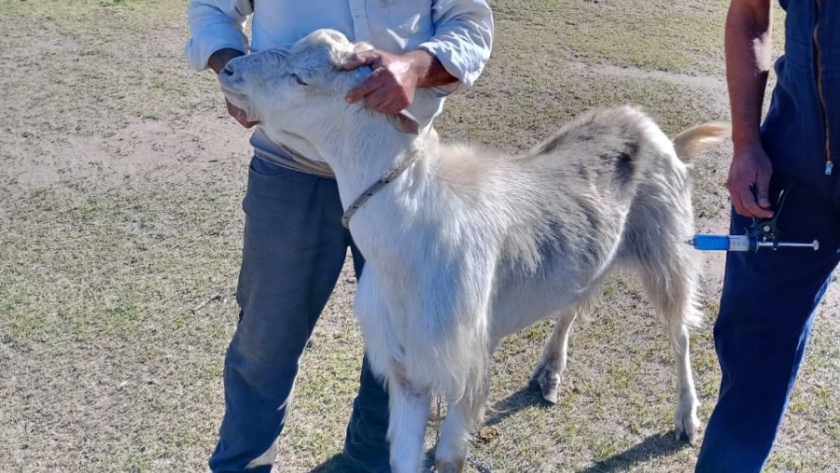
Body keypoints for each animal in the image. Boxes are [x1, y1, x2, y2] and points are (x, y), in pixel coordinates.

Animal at [218, 29, 728, 472]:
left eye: (302, 78)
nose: (229, 69)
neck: (408, 231)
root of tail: (657, 132)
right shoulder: (407, 365)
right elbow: (404, 458)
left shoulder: (464, 363)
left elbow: (447, 458)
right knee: (574, 301)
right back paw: (549, 373)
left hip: (668, 247)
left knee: (680, 331)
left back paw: (686, 420)